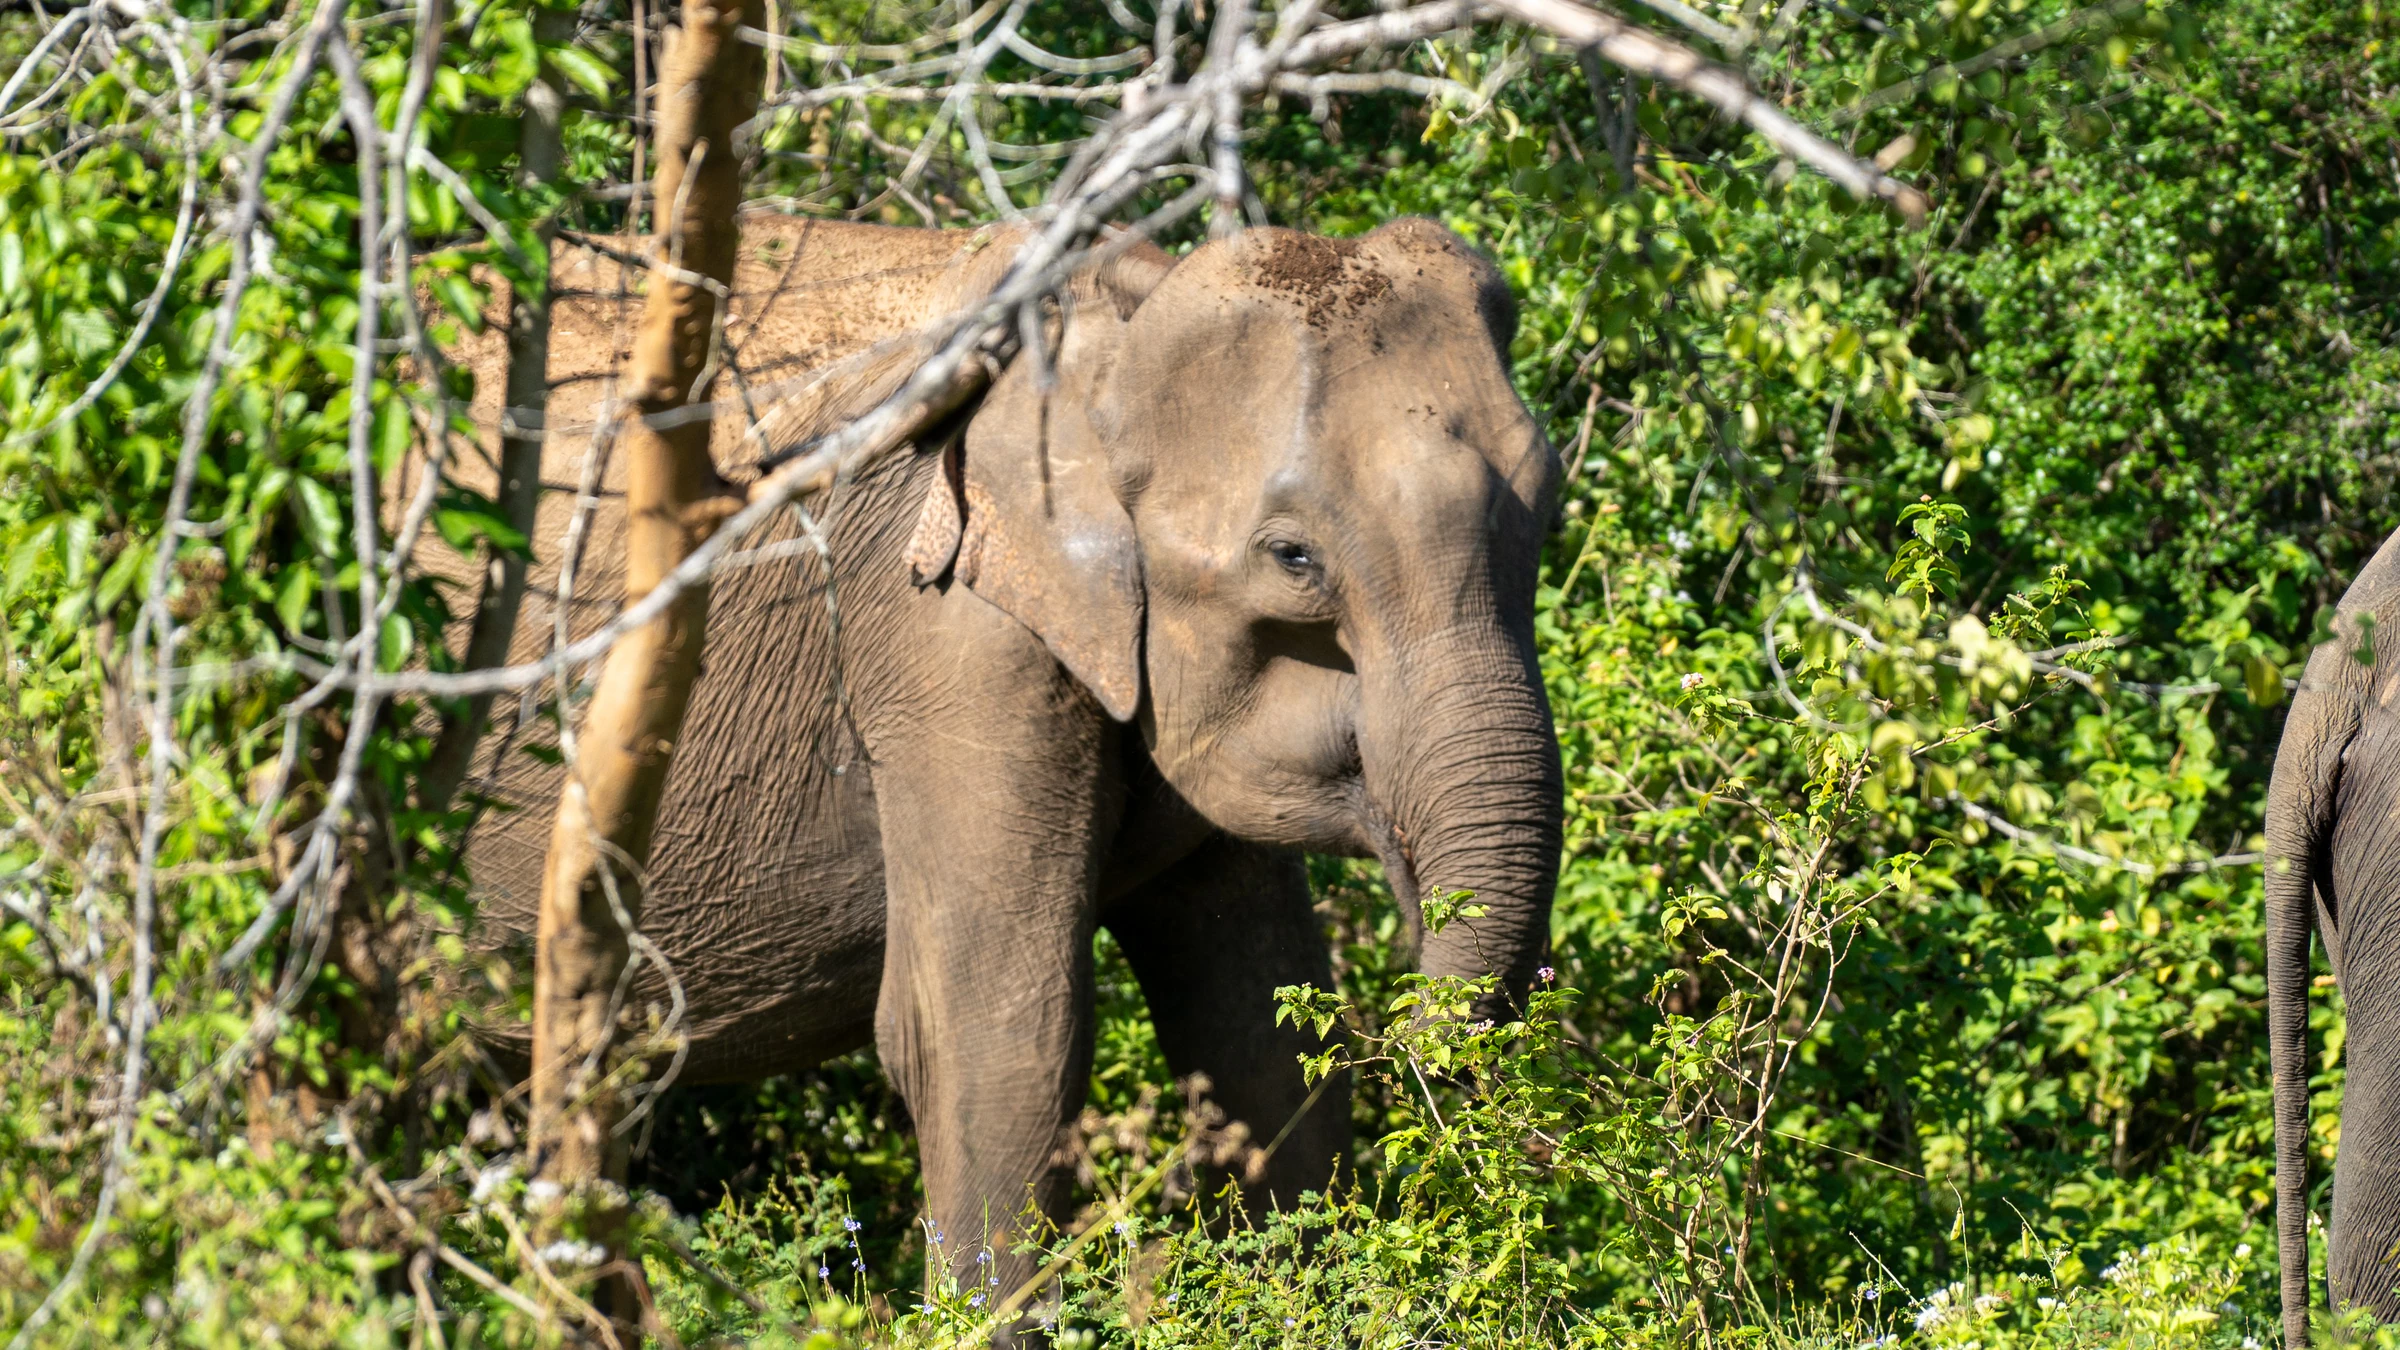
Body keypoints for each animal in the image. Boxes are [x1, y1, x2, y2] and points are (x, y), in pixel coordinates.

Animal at [440, 212, 1565, 1297]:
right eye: (1294, 558)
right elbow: (986, 1038)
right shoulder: (943, 631)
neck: (1113, 314)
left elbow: (1258, 1028)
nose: (1416, 1044)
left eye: (1546, 512)